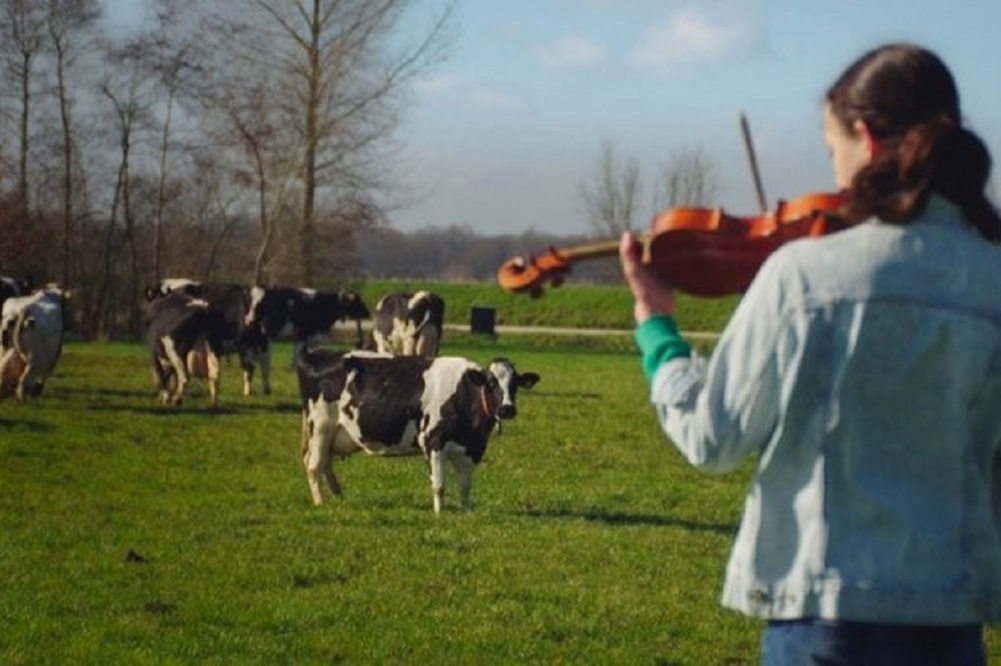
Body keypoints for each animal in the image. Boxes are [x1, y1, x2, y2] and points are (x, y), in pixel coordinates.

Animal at [292, 348, 540, 512]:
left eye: (515, 384)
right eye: (490, 383)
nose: (507, 409)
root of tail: (315, 354)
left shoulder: (471, 449)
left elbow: (465, 487)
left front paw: (467, 513)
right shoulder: (433, 440)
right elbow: (439, 484)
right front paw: (440, 515)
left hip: (330, 433)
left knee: (325, 463)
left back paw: (337, 496)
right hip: (320, 426)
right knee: (313, 465)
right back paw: (320, 503)